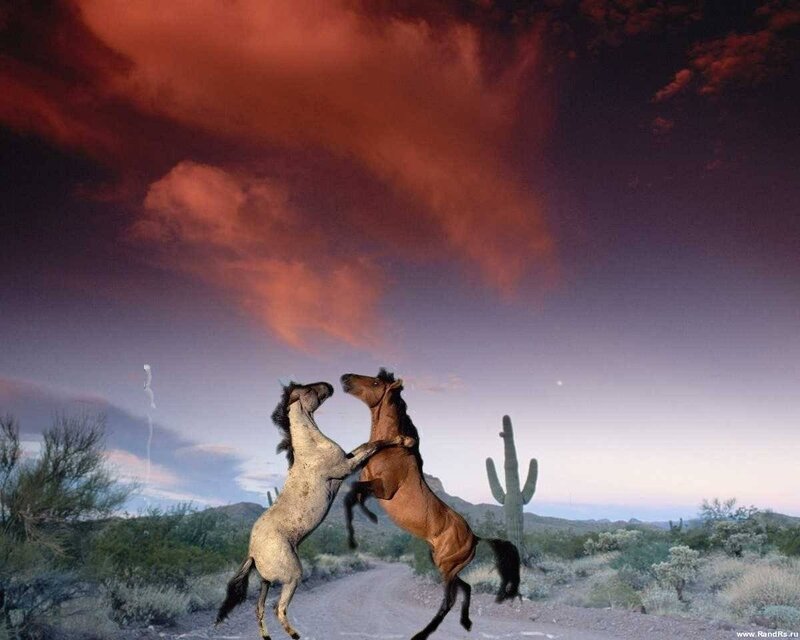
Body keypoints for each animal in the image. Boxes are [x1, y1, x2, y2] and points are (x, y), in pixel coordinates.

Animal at [216, 380, 415, 639]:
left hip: (265, 582)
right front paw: (405, 440)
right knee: (277, 608)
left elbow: (365, 445)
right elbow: (374, 445)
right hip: (292, 576)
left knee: (259, 608)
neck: (311, 448)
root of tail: (252, 553)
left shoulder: (347, 458)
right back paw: (295, 634)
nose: (329, 386)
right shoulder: (345, 466)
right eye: (308, 389)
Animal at [341, 369, 521, 640]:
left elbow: (352, 493)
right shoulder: (369, 484)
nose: (345, 378)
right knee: (466, 588)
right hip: (445, 565)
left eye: (374, 382)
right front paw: (358, 532)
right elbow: (353, 497)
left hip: (447, 568)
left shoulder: (383, 489)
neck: (391, 450)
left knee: (449, 600)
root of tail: (476, 538)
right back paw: (466, 622)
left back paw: (422, 634)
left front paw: (366, 525)